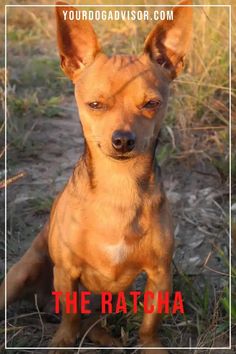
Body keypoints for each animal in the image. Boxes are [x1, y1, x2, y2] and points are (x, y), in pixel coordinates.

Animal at [0, 1, 192, 352]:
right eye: (94, 104)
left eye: (152, 104)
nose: (123, 140)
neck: (118, 185)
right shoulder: (67, 272)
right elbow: (70, 317)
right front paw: (62, 342)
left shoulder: (160, 275)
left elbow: (150, 324)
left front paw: (151, 345)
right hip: (23, 272)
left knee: (95, 321)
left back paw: (105, 337)